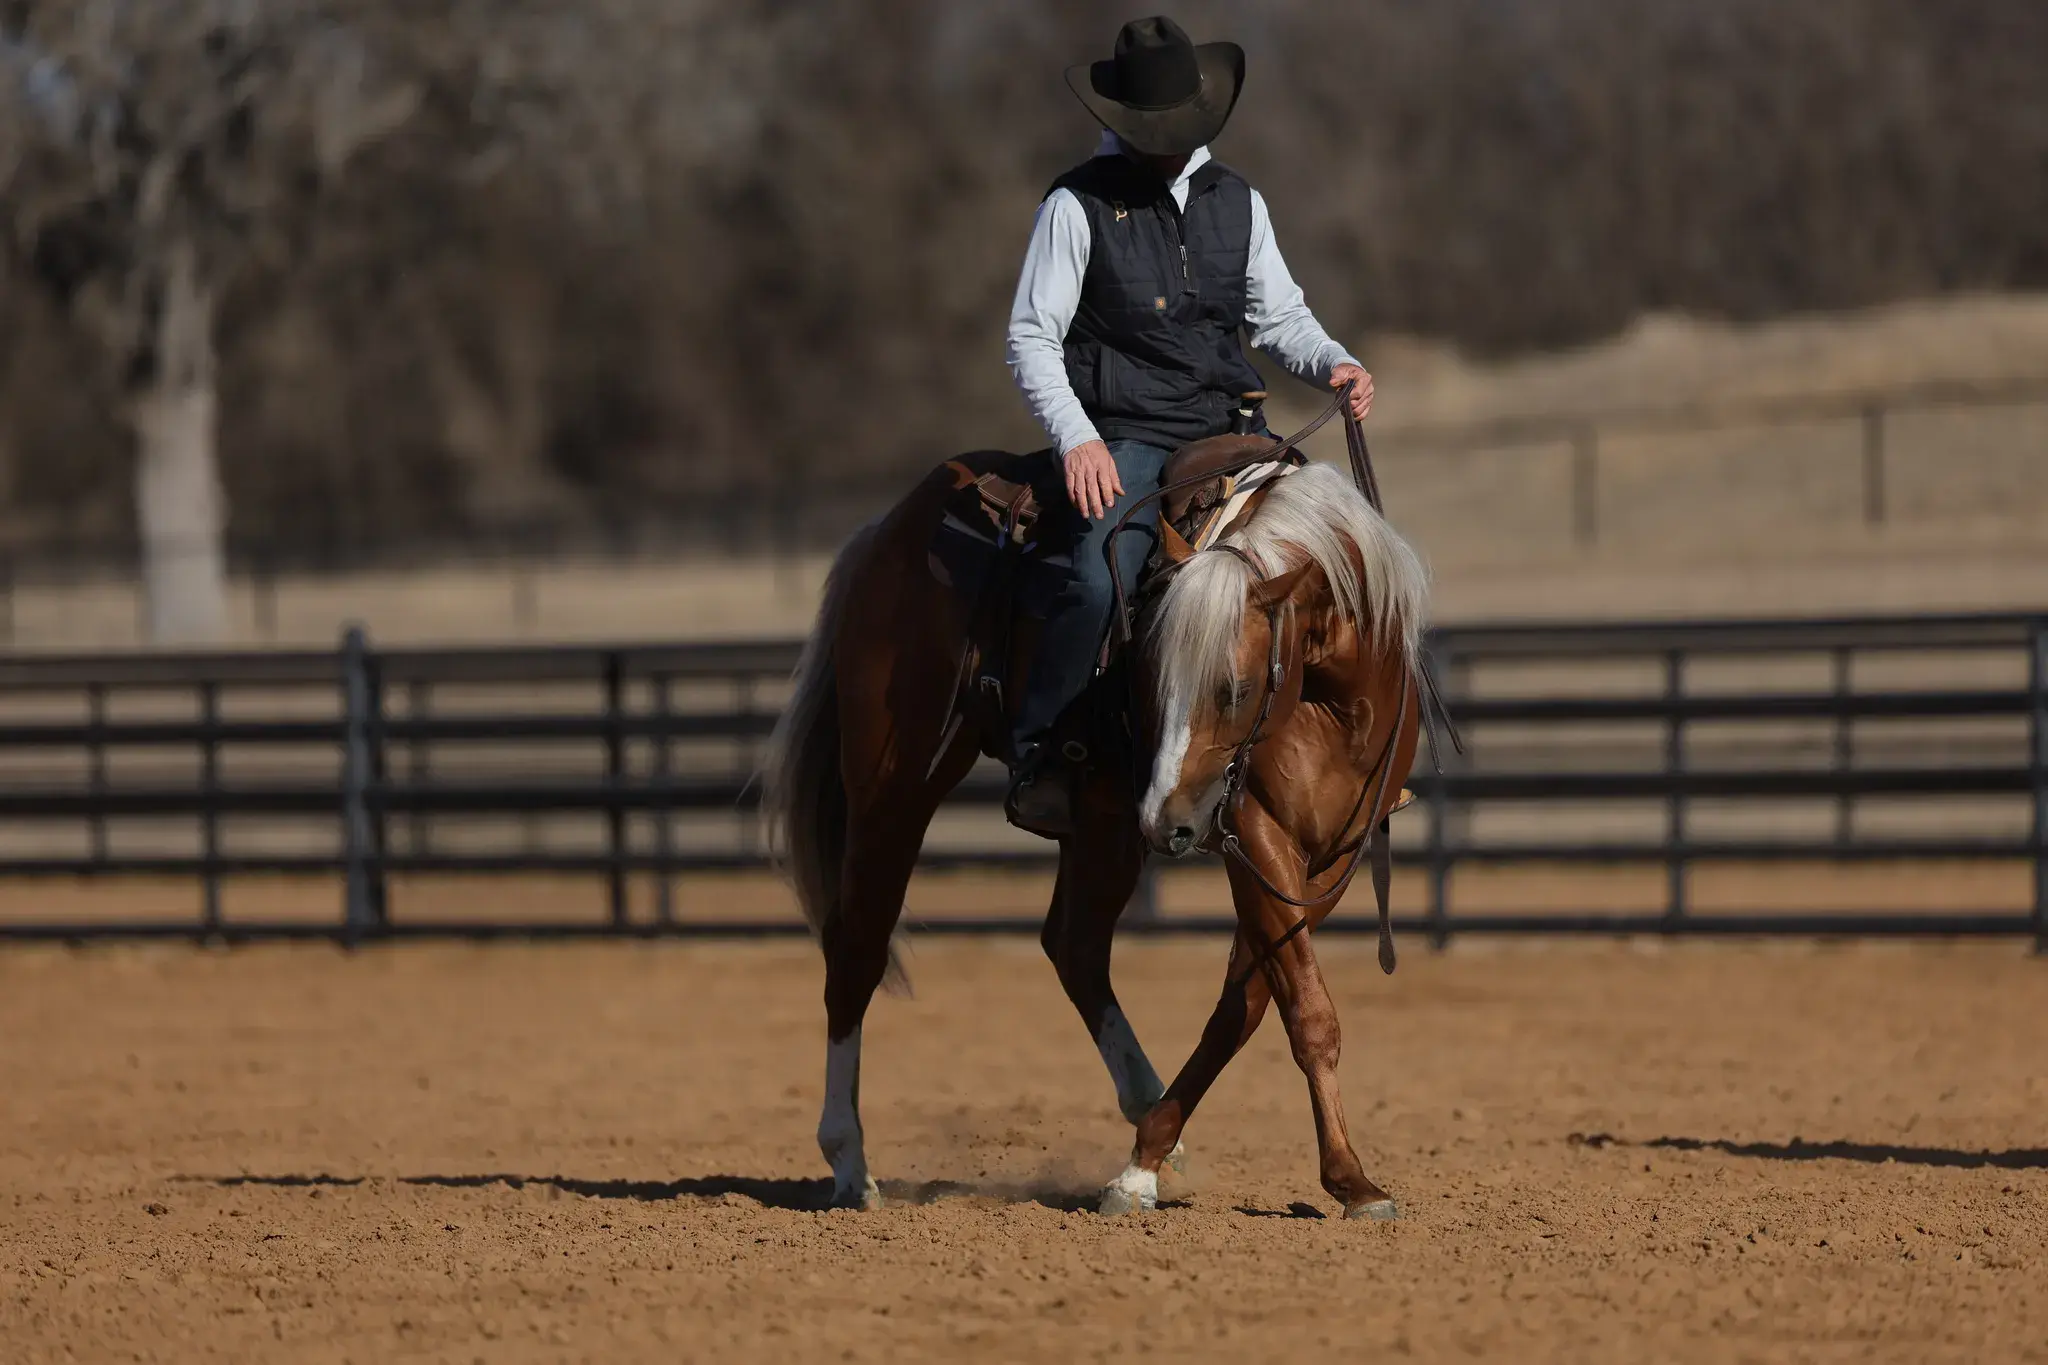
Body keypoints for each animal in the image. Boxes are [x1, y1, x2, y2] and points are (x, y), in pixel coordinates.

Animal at [764, 447, 1429, 1218]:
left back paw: (1146, 1105)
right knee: (857, 949)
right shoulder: (1255, 836)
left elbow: (1248, 1004)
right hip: (894, 792)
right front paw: (1351, 1180)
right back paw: (849, 1163)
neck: (1336, 700)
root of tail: (884, 531)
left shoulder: (1330, 856)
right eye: (1149, 679)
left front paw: (1152, 1153)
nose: (1169, 822)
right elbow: (1306, 1011)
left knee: (1074, 945)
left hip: (1102, 825)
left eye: (1234, 688)